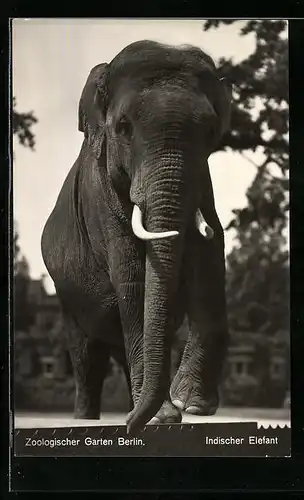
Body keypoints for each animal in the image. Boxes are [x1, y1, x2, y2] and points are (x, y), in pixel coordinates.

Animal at [41, 39, 232, 432]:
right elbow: (133, 275)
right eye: (123, 127)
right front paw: (164, 415)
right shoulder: (100, 197)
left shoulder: (202, 183)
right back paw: (88, 417)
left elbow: (209, 256)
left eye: (210, 132)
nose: (129, 427)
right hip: (68, 301)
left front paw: (191, 406)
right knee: (86, 357)